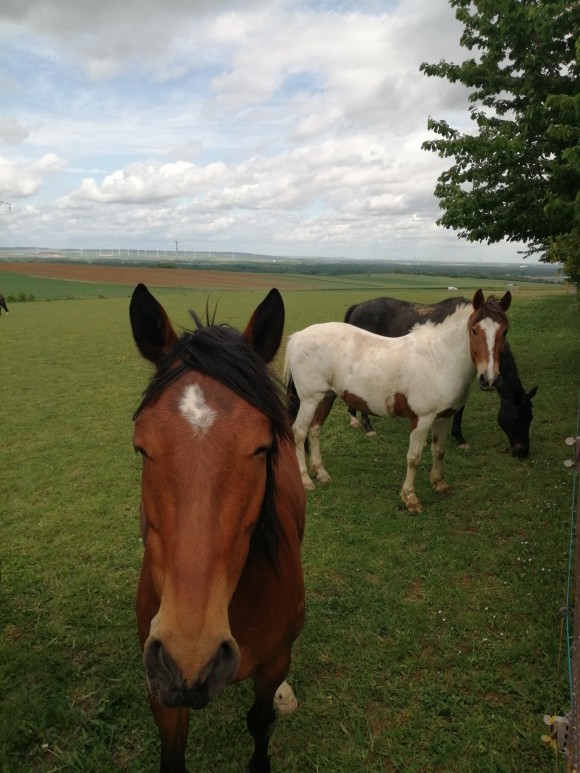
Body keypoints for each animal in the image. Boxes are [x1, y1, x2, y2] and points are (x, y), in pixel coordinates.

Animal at [129, 283, 306, 773]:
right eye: (141, 447)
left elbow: (260, 723)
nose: (191, 655)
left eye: (262, 447)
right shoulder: (161, 685)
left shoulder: (274, 663)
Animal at [285, 289, 511, 513]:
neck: (440, 360)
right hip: (310, 400)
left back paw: (321, 473)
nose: (489, 379)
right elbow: (414, 458)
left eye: (504, 331)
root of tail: (297, 337)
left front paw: (440, 484)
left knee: (315, 431)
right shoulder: (422, 420)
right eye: (474, 331)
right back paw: (306, 479)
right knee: (299, 432)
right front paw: (410, 498)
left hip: (326, 397)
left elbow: (439, 451)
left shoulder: (444, 418)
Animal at [344, 295, 537, 457]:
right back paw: (367, 426)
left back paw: (354, 418)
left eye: (530, 418)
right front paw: (458, 438)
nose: (523, 451)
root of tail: (357, 306)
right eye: (518, 417)